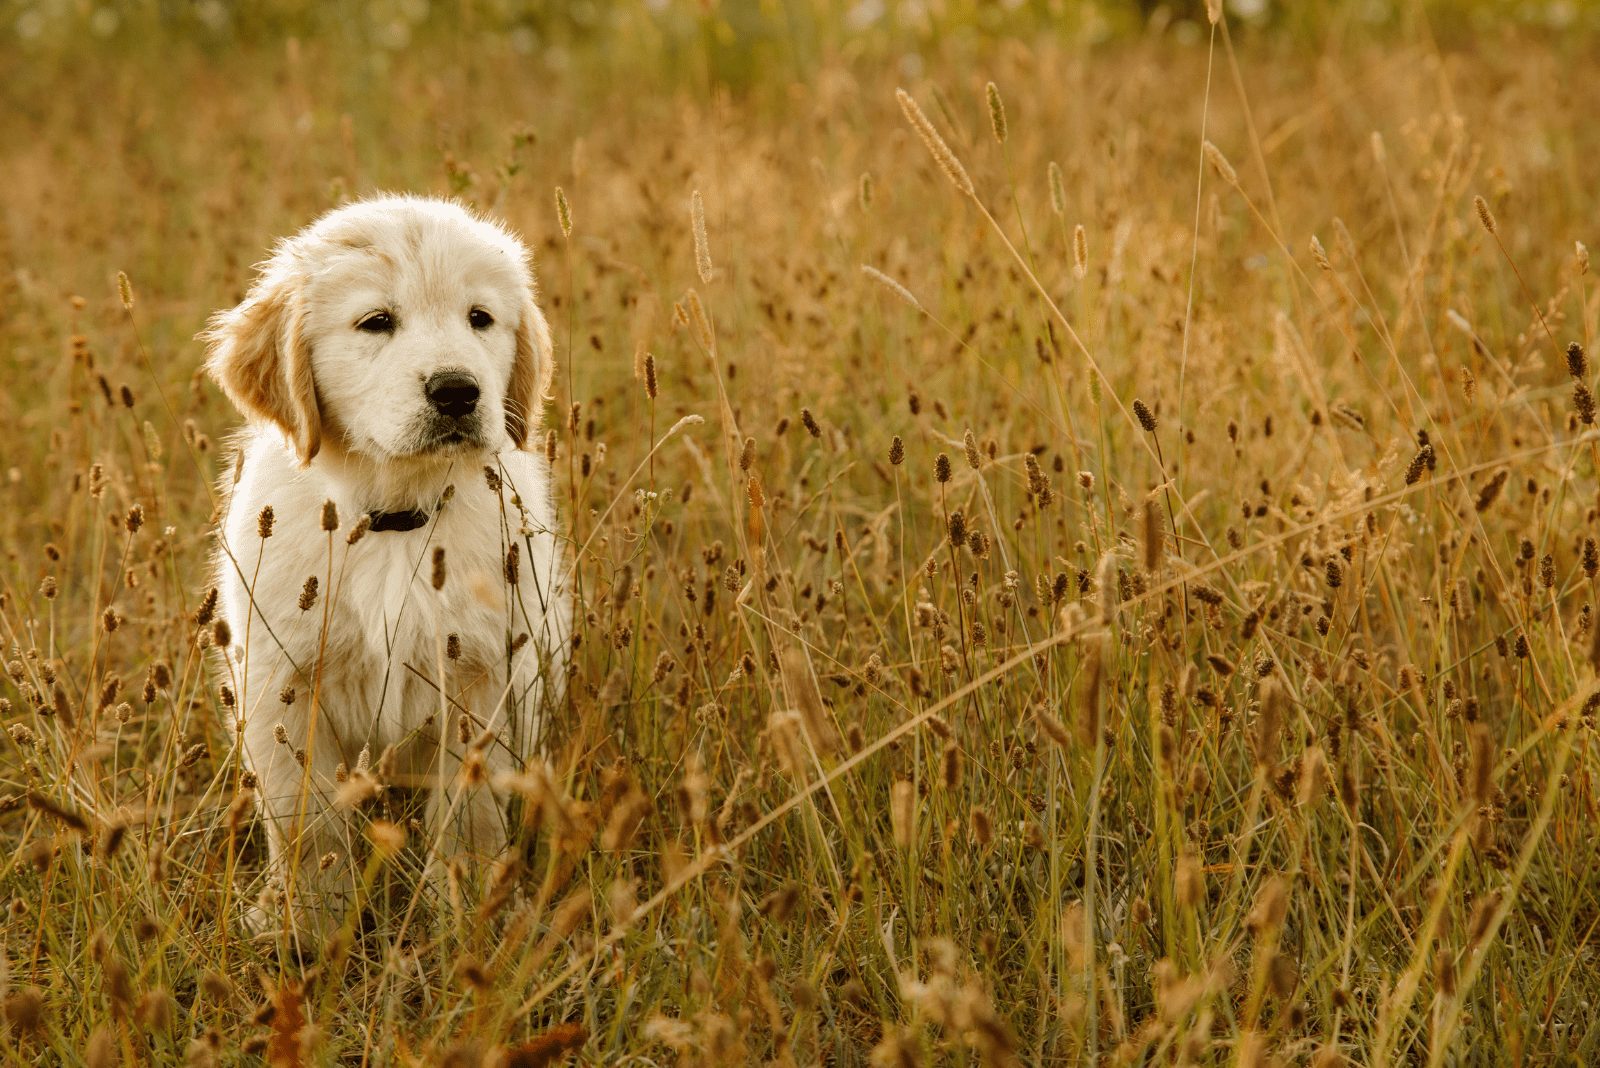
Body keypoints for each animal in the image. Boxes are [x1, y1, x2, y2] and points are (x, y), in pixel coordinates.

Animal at [203, 194, 569, 933]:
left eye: (479, 318)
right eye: (377, 322)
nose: (457, 391)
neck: (394, 514)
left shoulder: (483, 678)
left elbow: (471, 811)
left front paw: (469, 910)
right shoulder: (282, 681)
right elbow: (305, 814)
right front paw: (307, 920)